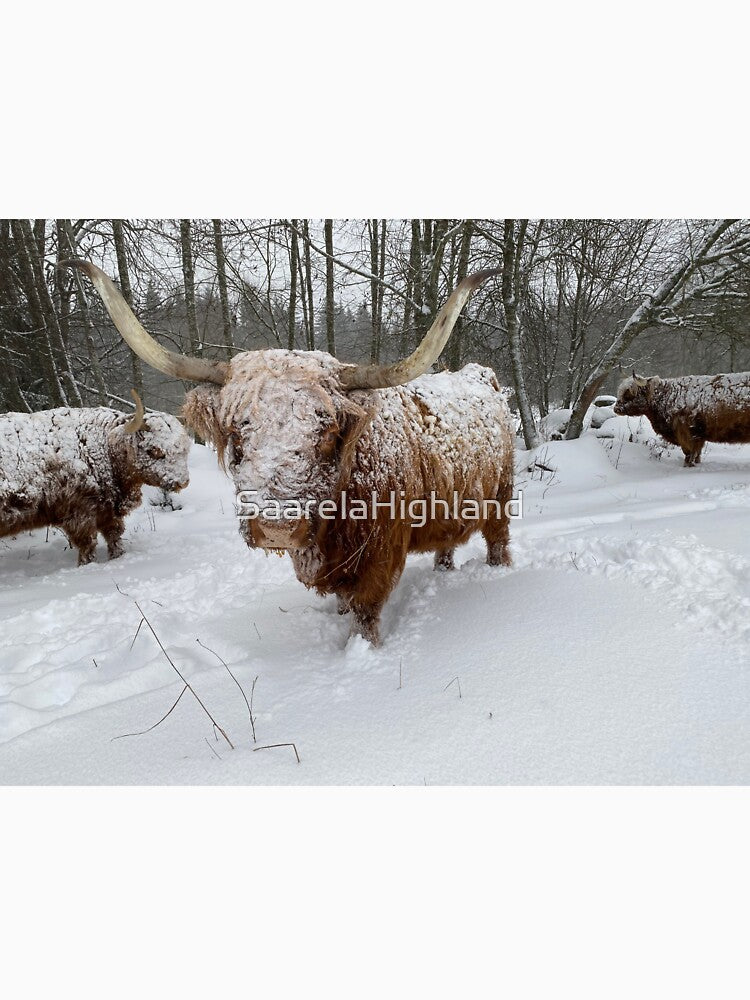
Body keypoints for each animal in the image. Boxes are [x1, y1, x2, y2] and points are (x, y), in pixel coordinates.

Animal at [0, 392, 190, 565]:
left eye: (184, 448)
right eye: (154, 450)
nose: (183, 482)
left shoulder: (106, 509)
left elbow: (114, 535)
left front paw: (117, 556)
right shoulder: (80, 512)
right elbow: (88, 544)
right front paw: (86, 565)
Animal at [61, 260, 514, 644]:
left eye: (326, 431)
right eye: (238, 430)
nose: (276, 526)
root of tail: (482, 374)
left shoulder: (378, 556)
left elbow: (366, 611)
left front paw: (362, 651)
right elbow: (345, 602)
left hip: (501, 497)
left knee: (497, 540)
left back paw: (500, 573)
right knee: (447, 543)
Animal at [614, 372, 750, 467]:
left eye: (629, 393)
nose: (616, 408)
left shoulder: (686, 432)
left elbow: (689, 453)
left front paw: (688, 465)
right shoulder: (698, 435)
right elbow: (697, 453)